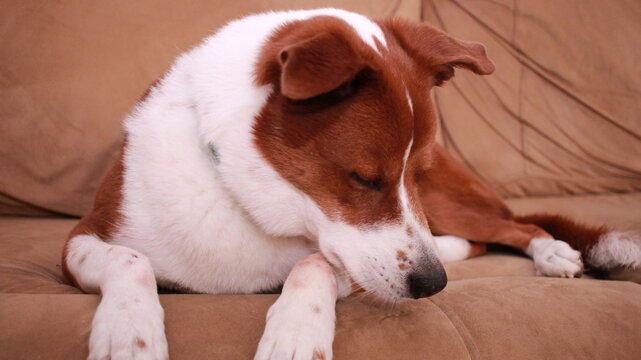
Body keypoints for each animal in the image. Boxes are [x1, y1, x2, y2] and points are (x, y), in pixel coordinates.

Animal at [61, 8, 640, 360]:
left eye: (414, 173)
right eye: (364, 177)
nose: (432, 286)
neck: (244, 196)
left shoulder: (365, 258)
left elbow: (315, 264)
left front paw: (296, 333)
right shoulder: (80, 237)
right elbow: (129, 258)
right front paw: (129, 331)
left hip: (448, 204)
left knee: (514, 226)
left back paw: (553, 253)